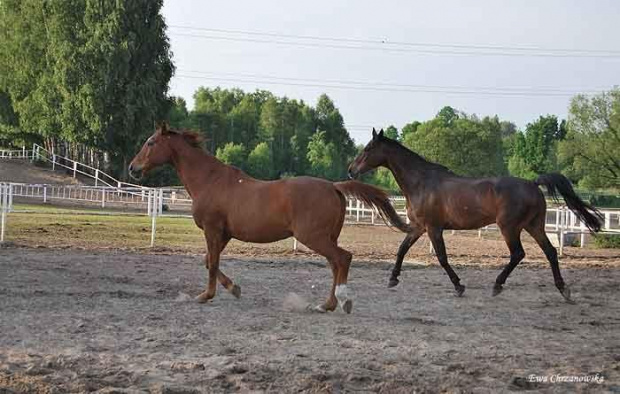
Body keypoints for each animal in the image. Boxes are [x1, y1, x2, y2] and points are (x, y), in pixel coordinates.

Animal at [128, 123, 410, 314]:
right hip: (327, 237)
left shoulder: (212, 229)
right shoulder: (223, 233)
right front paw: (234, 289)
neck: (210, 180)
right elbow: (209, 261)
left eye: (150, 142)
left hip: (313, 236)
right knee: (335, 264)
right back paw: (326, 305)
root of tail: (334, 186)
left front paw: (205, 295)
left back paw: (342, 301)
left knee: (343, 258)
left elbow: (212, 263)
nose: (133, 168)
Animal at [352, 129, 604, 302]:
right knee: (550, 252)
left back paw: (497, 285)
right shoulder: (418, 227)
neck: (422, 182)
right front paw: (392, 279)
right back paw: (563, 289)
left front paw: (459, 286)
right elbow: (402, 249)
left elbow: (442, 257)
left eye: (367, 149)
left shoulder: (433, 228)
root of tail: (533, 184)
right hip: (534, 226)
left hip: (509, 227)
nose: (351, 170)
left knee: (518, 254)